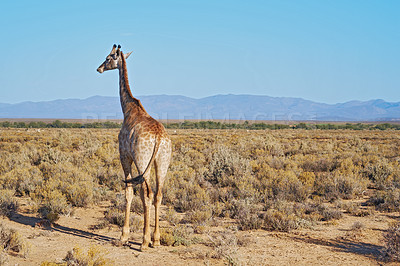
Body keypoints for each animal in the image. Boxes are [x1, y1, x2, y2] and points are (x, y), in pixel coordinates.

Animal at [98, 44, 172, 250]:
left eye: (108, 58)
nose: (99, 68)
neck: (128, 109)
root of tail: (159, 138)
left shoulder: (124, 156)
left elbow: (128, 193)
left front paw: (124, 236)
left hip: (142, 161)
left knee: (147, 194)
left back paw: (144, 242)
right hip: (161, 162)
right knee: (158, 194)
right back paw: (156, 239)